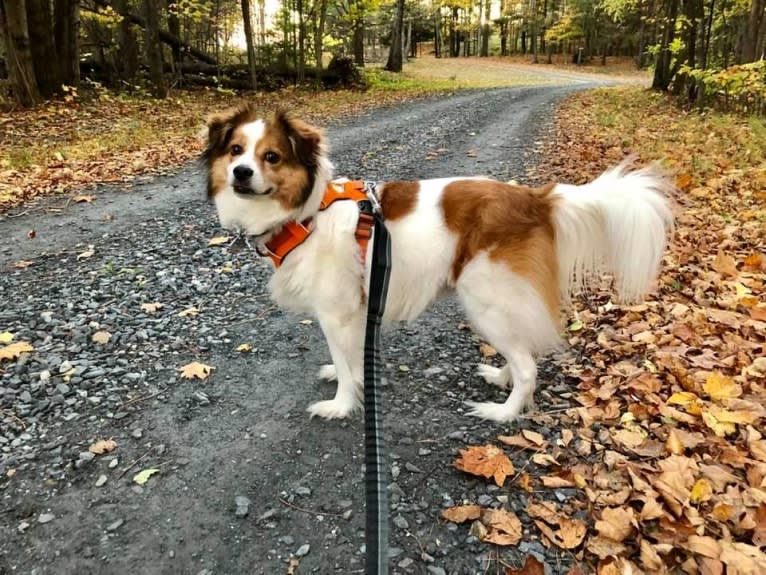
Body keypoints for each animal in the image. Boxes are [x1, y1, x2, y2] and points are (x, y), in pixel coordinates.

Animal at [202, 106, 672, 426]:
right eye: (236, 150)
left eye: (272, 157)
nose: (241, 172)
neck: (307, 214)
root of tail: (535, 199)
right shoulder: (358, 309)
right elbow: (350, 357)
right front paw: (346, 375)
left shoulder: (336, 312)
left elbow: (344, 361)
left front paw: (340, 404)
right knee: (522, 349)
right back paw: (499, 376)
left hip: (488, 300)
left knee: (528, 367)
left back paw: (502, 412)